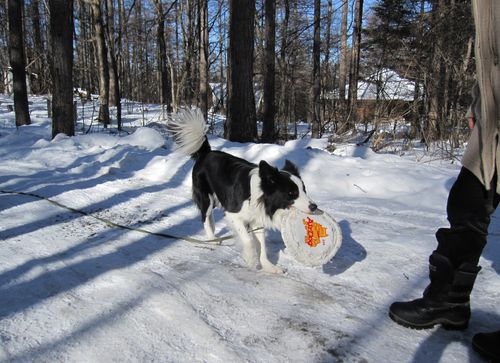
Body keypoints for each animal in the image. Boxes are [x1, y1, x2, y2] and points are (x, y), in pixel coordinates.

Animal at [167, 109, 316, 272]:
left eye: (304, 190)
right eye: (292, 193)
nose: (314, 207)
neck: (260, 193)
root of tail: (206, 152)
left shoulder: (257, 219)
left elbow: (262, 246)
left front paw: (269, 266)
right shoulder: (233, 214)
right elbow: (248, 239)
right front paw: (251, 259)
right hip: (206, 196)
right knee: (205, 217)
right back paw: (212, 239)